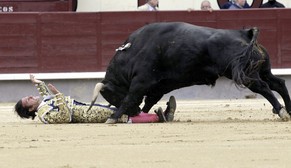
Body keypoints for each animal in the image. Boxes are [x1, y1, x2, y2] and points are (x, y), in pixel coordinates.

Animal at [88, 21, 291, 122]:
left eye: (112, 96)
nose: (133, 113)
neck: (134, 51)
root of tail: (245, 34)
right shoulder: (157, 86)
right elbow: (149, 101)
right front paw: (153, 114)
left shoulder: (141, 82)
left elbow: (131, 97)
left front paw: (113, 117)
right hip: (262, 71)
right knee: (278, 83)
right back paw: (287, 109)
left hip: (247, 75)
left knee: (264, 88)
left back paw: (281, 112)